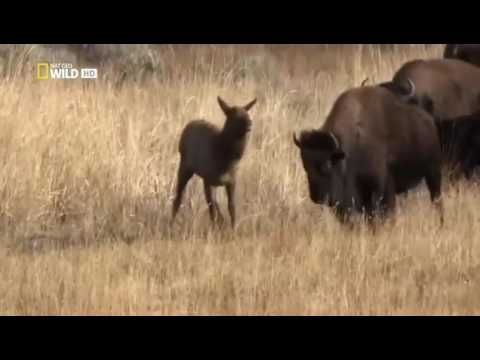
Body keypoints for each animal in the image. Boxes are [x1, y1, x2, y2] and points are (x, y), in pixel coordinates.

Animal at [171, 95, 256, 228]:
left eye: (247, 112)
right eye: (233, 115)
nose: (250, 123)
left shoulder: (231, 181)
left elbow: (231, 208)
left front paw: (233, 228)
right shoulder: (209, 180)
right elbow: (212, 211)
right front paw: (214, 229)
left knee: (215, 203)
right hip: (185, 167)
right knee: (178, 197)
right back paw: (171, 224)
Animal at [294, 85, 444, 224]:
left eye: (328, 165)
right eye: (305, 164)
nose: (317, 197)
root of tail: (428, 119)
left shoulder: (380, 190)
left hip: (433, 172)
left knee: (436, 199)